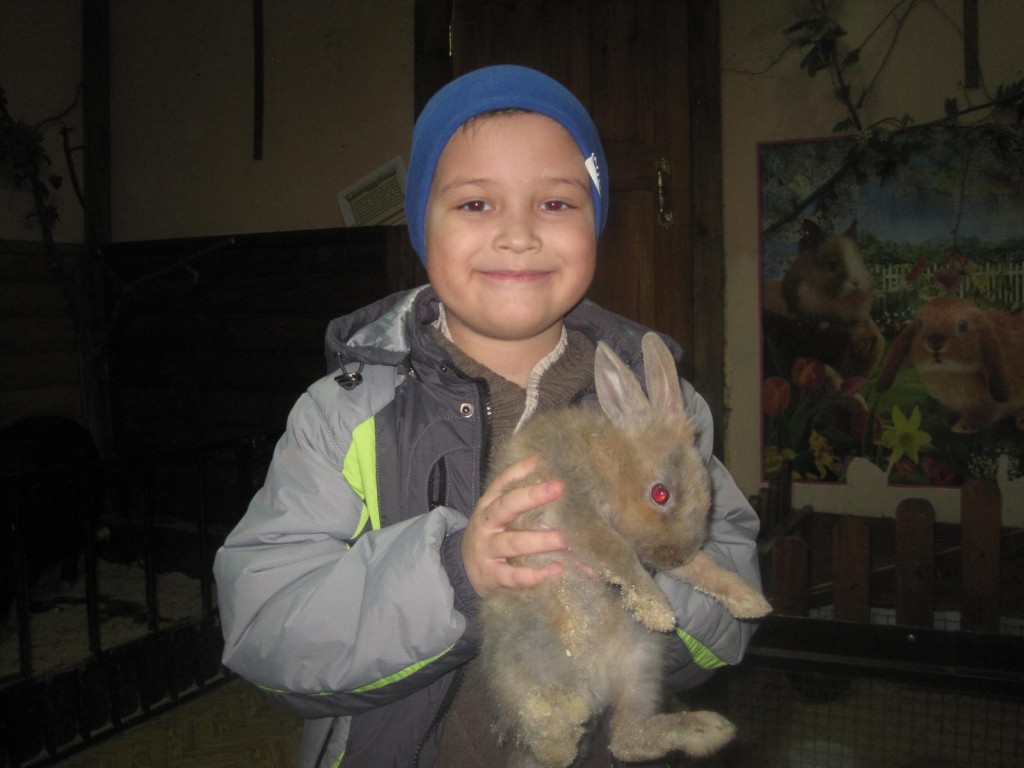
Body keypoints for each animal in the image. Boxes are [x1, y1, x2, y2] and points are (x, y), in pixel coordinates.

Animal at [478, 332, 771, 768]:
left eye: (709, 495)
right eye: (660, 494)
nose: (676, 556)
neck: (610, 460)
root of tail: (593, 685)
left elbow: (703, 570)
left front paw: (751, 603)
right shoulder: (574, 510)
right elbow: (616, 553)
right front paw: (659, 610)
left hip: (641, 667)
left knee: (629, 738)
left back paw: (707, 729)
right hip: (527, 652)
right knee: (546, 736)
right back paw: (562, 715)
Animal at [876, 295, 1024, 433]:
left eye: (963, 325)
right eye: (920, 324)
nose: (935, 342)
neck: (949, 371)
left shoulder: (988, 404)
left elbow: (985, 413)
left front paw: (964, 426)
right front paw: (951, 419)